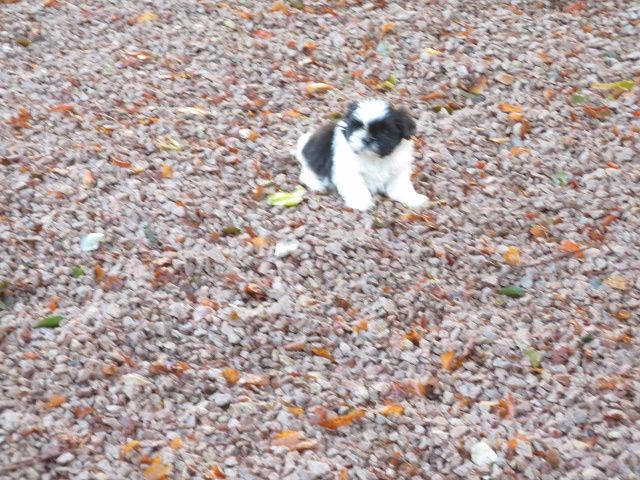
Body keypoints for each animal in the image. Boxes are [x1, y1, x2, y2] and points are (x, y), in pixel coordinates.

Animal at [295, 99, 428, 211]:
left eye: (384, 131)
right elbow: (356, 187)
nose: (367, 139)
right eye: (357, 126)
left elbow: (402, 187)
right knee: (307, 173)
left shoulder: (398, 170)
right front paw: (362, 203)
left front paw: (414, 199)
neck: (374, 158)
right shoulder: (349, 171)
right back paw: (317, 185)